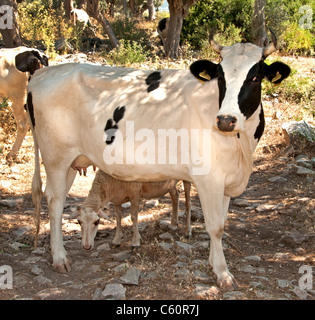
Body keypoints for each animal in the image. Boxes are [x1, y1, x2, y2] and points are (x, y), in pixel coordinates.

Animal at [27, 32, 292, 290]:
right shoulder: (209, 178)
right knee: (55, 201)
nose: (226, 120)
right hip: (56, 157)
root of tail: (41, 74)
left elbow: (223, 221)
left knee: (57, 198)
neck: (242, 146)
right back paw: (59, 258)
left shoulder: (227, 178)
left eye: (255, 77)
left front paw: (212, 262)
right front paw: (222, 273)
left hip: (72, 160)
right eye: (221, 76)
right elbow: (215, 226)